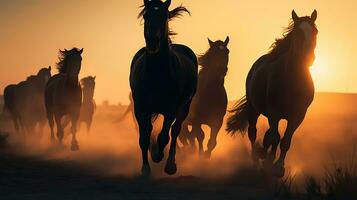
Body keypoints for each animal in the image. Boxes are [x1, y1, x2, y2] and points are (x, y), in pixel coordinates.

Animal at [130, 0, 197, 176]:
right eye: (146, 15)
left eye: (163, 15)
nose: (152, 41)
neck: (157, 75)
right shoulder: (140, 108)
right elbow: (144, 137)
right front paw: (145, 169)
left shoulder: (171, 110)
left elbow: (164, 136)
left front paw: (158, 156)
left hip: (184, 107)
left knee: (175, 131)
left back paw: (170, 164)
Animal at [227, 10, 316, 177]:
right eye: (298, 32)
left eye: (315, 31)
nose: (309, 58)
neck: (291, 81)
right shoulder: (274, 112)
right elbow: (275, 137)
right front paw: (269, 163)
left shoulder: (298, 115)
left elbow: (285, 140)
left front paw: (279, 167)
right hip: (254, 110)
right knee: (253, 133)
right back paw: (256, 162)